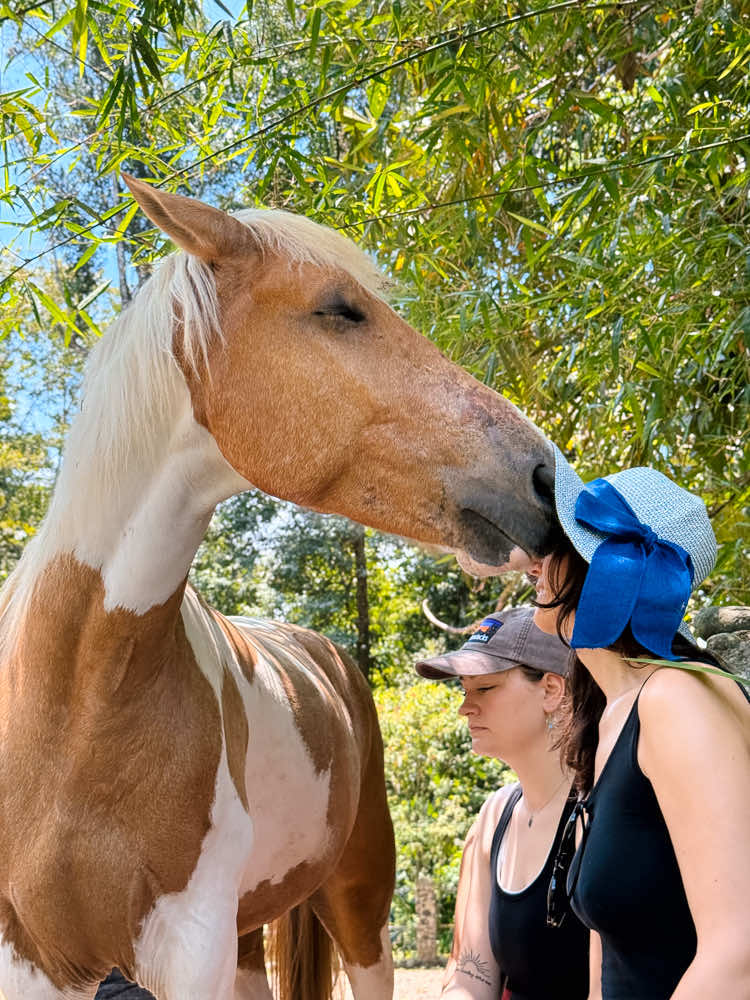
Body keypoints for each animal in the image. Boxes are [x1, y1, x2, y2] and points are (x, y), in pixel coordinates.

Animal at [0, 174, 556, 1000]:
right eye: (339, 308)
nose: (545, 476)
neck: (72, 696)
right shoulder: (31, 958)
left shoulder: (189, 945)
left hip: (358, 906)